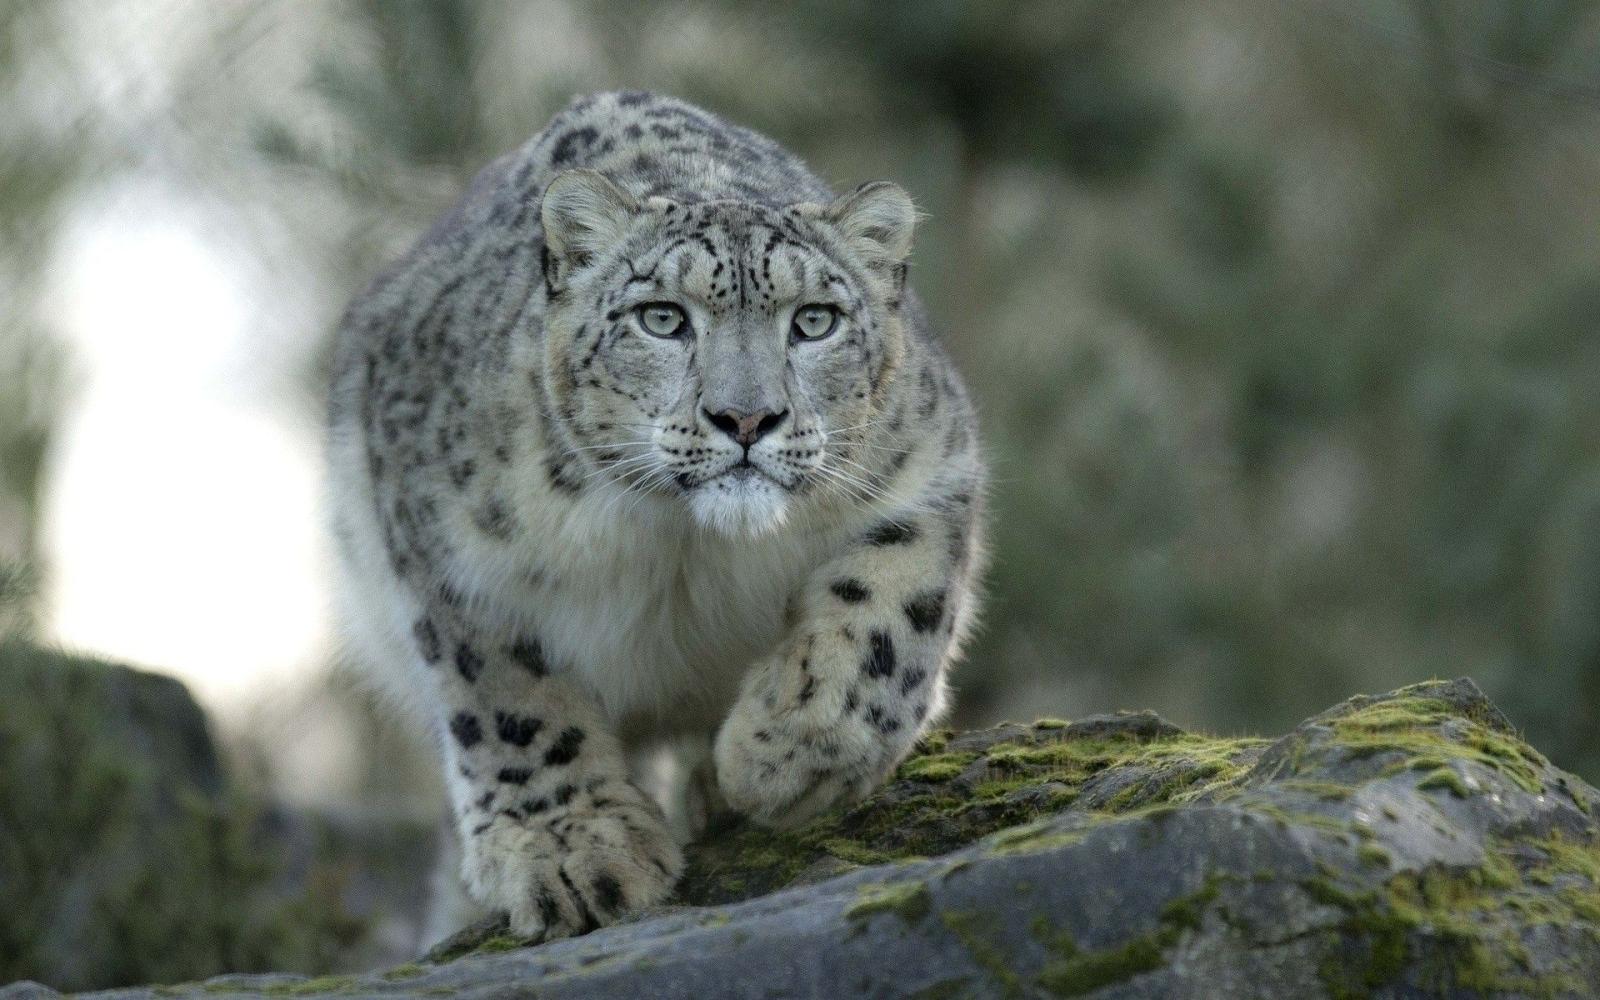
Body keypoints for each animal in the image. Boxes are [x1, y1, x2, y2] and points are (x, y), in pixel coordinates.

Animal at [326, 90, 987, 943]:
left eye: (815, 321)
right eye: (663, 318)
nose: (746, 417)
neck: (685, 547)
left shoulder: (930, 470)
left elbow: (886, 614)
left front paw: (784, 752)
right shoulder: (446, 547)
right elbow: (507, 696)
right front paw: (574, 852)